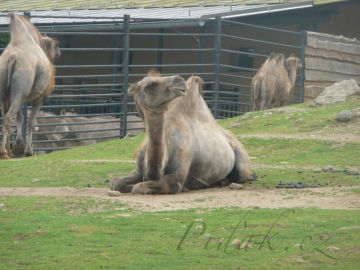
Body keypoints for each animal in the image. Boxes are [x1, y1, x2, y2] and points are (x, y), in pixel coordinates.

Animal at [0, 13, 59, 158]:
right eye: (56, 46)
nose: (59, 52)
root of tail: (11, 58)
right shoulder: (40, 97)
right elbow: (31, 122)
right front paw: (27, 151)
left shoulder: (19, 98)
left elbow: (20, 118)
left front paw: (18, 147)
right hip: (20, 88)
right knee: (9, 117)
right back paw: (4, 152)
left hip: (4, 92)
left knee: (5, 116)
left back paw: (7, 152)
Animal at [111, 71, 252, 194]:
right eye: (150, 84)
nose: (179, 80)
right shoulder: (139, 171)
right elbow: (116, 183)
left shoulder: (176, 178)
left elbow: (138, 187)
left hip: (241, 162)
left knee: (242, 175)